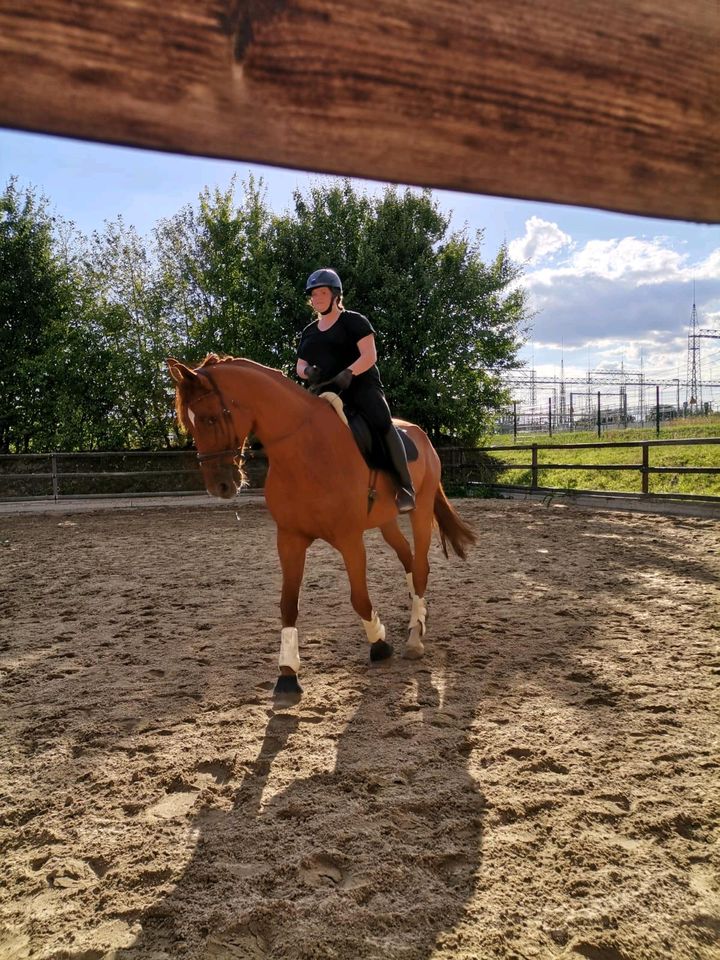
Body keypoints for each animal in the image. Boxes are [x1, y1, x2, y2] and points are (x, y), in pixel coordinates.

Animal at [166, 354, 476, 696]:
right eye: (188, 424)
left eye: (209, 419)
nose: (219, 486)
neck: (304, 450)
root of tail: (420, 434)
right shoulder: (289, 539)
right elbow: (288, 604)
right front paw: (287, 673)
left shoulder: (349, 540)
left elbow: (359, 598)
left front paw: (379, 643)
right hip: (386, 521)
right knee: (408, 558)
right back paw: (417, 614)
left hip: (418, 511)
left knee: (420, 566)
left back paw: (415, 636)